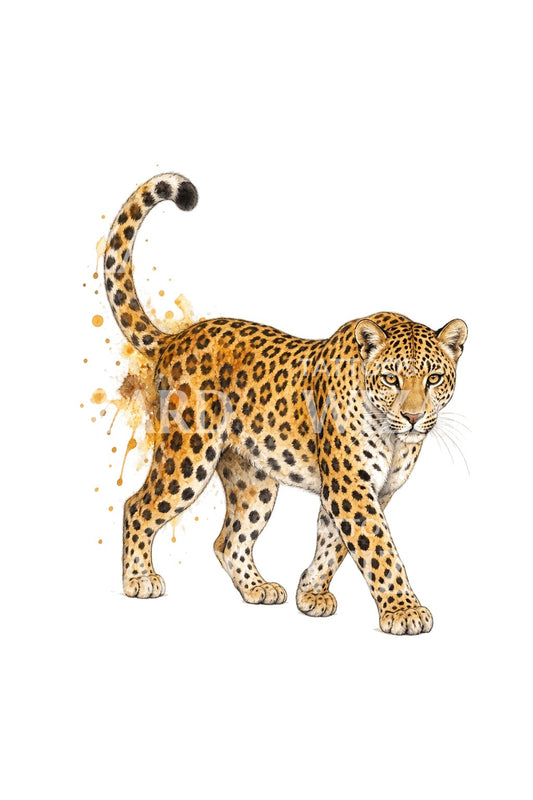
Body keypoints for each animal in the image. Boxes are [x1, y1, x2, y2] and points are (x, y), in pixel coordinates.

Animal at [102, 171, 468, 635]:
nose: (414, 416)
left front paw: (310, 593)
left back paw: (258, 588)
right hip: (188, 455)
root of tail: (177, 337)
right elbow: (378, 548)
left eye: (433, 378)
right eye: (391, 379)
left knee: (229, 539)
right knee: (138, 505)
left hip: (253, 477)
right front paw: (404, 611)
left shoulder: (364, 489)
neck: (394, 436)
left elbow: (333, 542)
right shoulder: (352, 485)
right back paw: (139, 580)